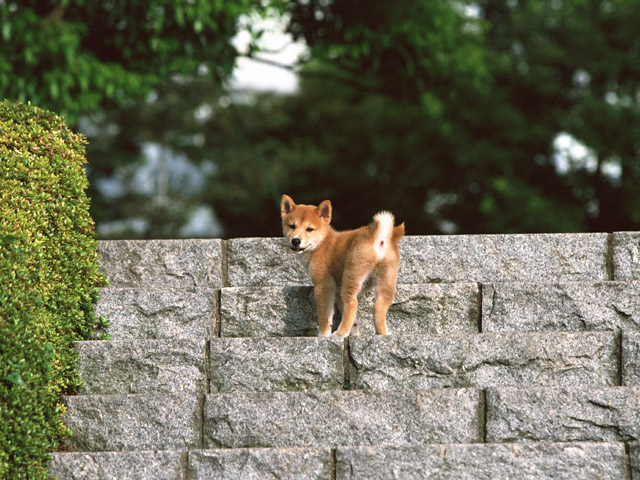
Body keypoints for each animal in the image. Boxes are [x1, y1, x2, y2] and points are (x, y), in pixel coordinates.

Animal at [278, 195, 402, 338]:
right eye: (292, 226)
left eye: (309, 229)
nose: (296, 241)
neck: (322, 244)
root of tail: (379, 239)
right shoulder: (337, 292)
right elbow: (350, 318)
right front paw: (353, 333)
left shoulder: (323, 285)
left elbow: (325, 317)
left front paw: (323, 335)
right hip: (386, 279)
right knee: (379, 305)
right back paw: (383, 333)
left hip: (352, 275)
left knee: (353, 303)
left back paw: (340, 333)